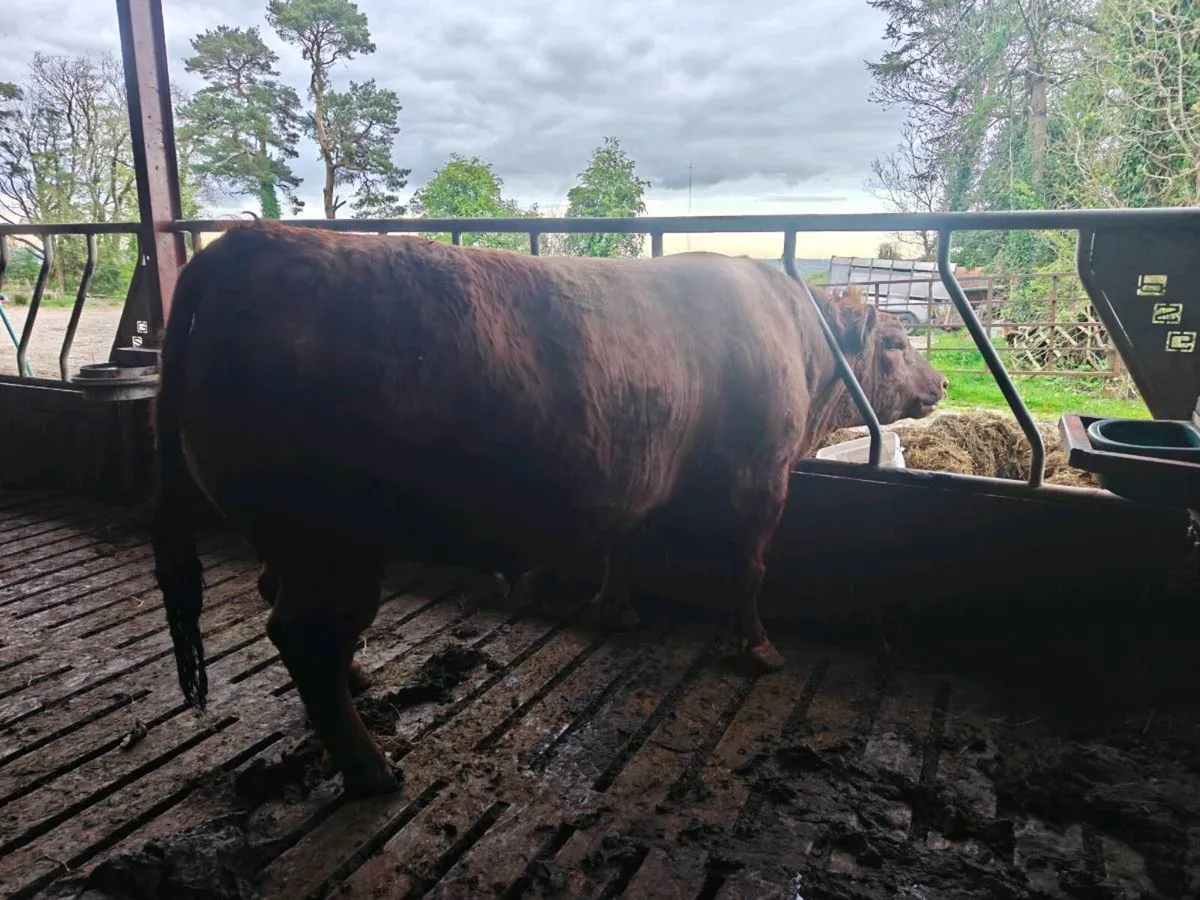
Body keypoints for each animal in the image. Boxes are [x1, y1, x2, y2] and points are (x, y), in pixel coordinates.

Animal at [150, 220, 946, 798]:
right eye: (897, 342)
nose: (939, 382)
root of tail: (249, 242)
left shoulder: (636, 471)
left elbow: (625, 542)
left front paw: (617, 608)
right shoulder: (761, 479)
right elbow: (748, 569)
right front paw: (757, 648)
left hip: (291, 538)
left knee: (282, 607)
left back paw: (359, 683)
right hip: (329, 541)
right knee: (304, 633)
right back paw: (372, 768)